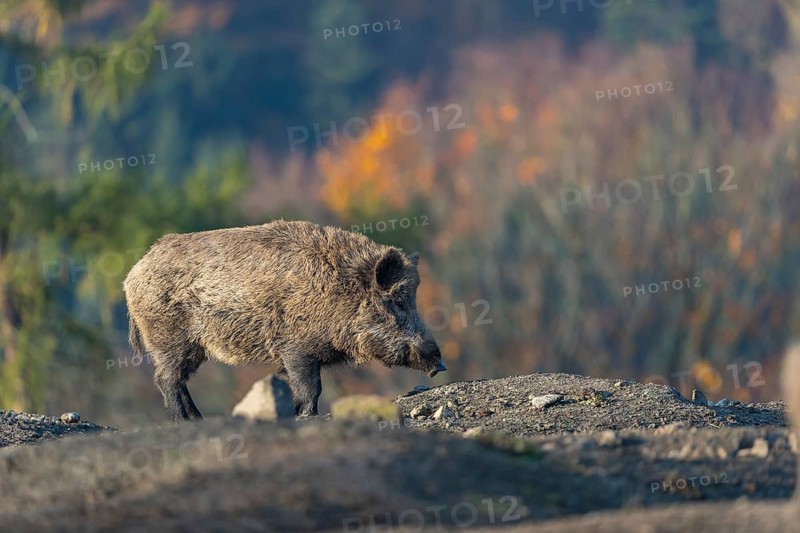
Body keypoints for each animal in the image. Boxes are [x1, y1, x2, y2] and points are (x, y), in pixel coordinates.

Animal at [123, 220, 446, 420]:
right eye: (396, 301)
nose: (439, 364)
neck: (338, 291)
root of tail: (132, 276)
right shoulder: (297, 349)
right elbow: (310, 388)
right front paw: (307, 416)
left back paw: (198, 418)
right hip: (169, 339)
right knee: (167, 379)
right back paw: (186, 420)